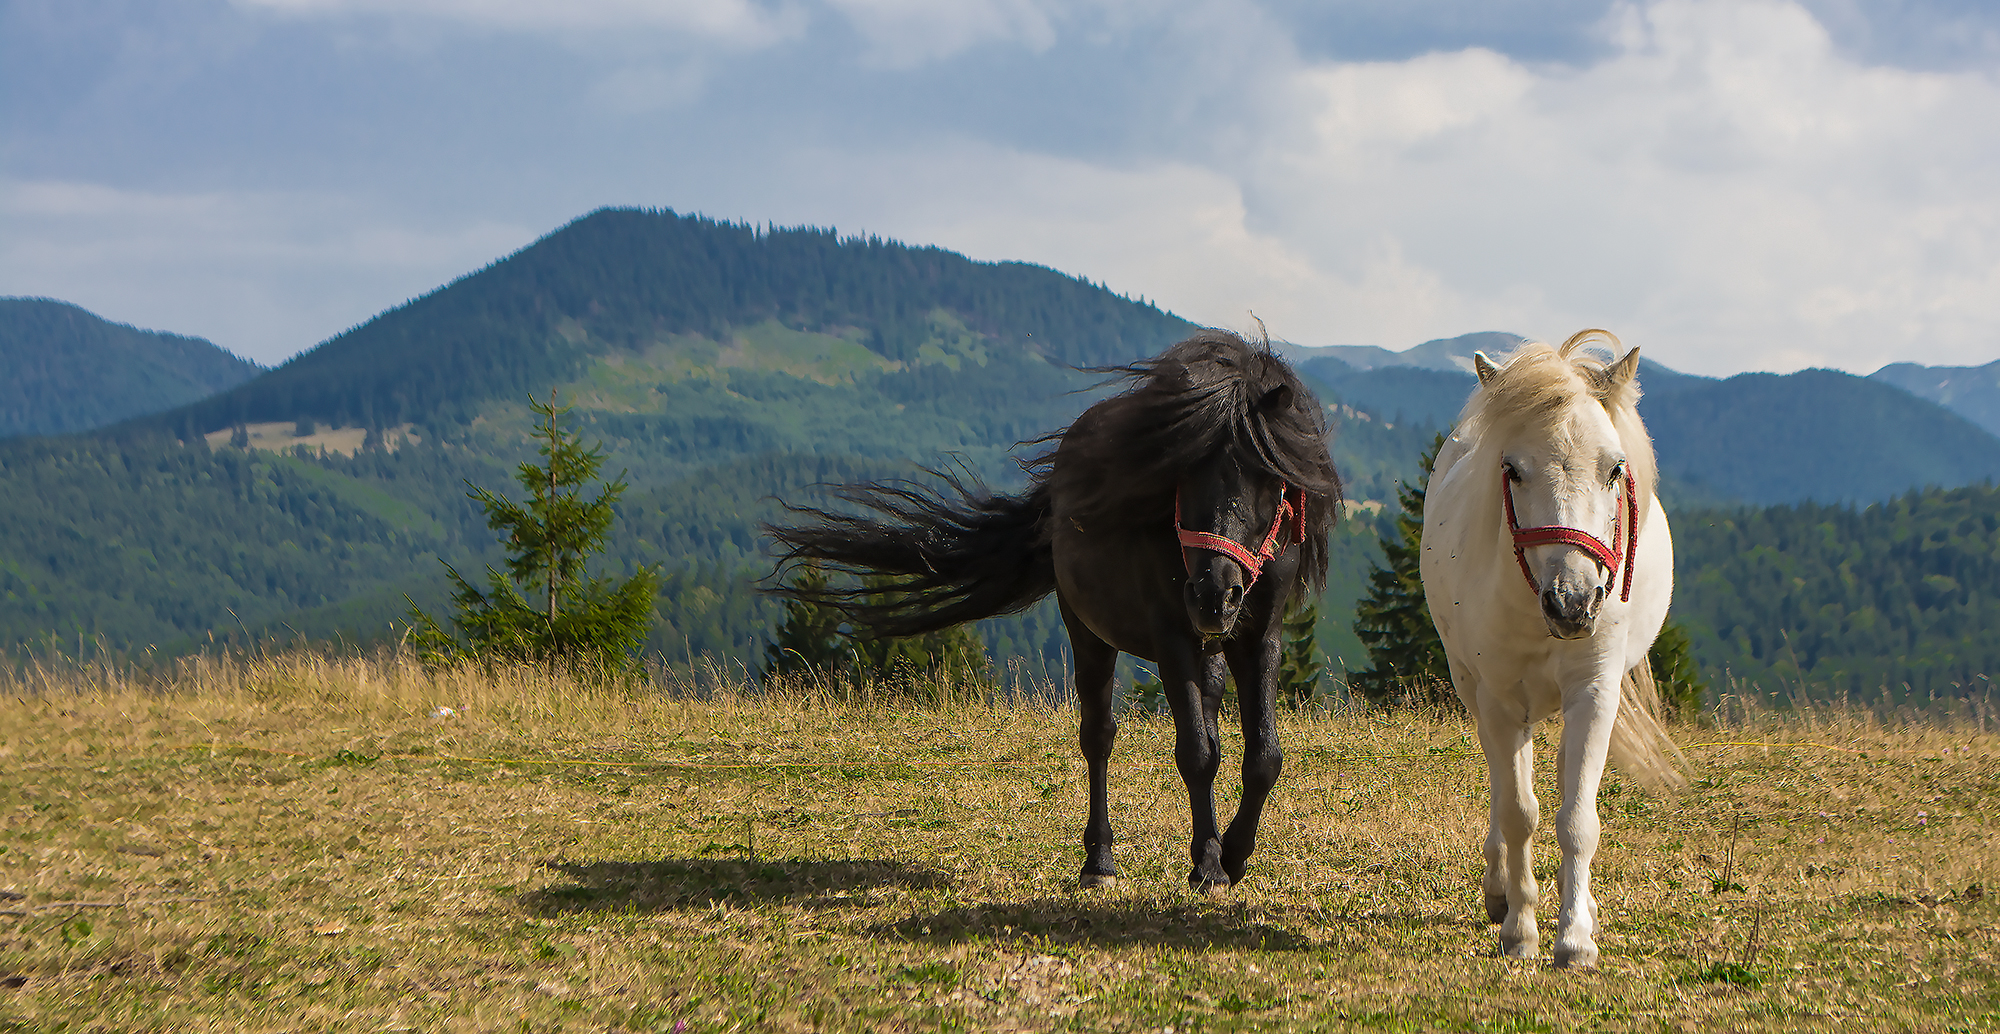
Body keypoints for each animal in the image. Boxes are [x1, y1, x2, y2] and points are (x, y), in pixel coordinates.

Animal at [765, 330, 1342, 892]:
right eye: (1184, 469)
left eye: (1266, 477)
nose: (1213, 595)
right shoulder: (1172, 636)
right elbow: (1196, 755)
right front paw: (1208, 865)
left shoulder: (1260, 636)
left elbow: (1262, 757)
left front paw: (1235, 854)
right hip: (1088, 631)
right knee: (1099, 736)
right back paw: (1099, 860)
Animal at [1420, 329, 1686, 969]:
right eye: (1512, 470)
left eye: (1615, 468)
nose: (1574, 602)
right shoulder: (1497, 699)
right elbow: (1519, 812)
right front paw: (1520, 930)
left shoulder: (1594, 692)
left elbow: (1577, 819)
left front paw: (1575, 937)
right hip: (1474, 687)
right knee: (1503, 791)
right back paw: (1501, 892)